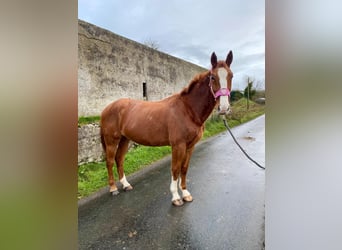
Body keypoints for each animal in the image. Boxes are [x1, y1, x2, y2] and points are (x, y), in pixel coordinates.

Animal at [99, 50, 232, 205]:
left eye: (231, 75)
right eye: (212, 77)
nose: (224, 108)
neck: (188, 109)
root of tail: (107, 108)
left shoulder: (190, 146)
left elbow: (184, 168)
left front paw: (185, 193)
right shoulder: (178, 145)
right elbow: (175, 169)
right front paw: (176, 197)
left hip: (124, 139)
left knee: (119, 159)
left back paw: (126, 185)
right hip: (111, 140)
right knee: (109, 161)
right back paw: (113, 189)